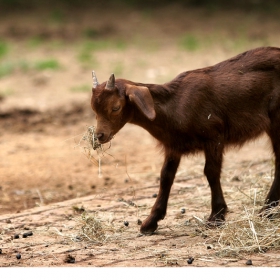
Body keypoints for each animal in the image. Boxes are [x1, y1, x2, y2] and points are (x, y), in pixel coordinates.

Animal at [91, 46, 280, 234]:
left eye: (115, 107)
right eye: (93, 108)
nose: (99, 136)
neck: (175, 105)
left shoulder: (214, 137)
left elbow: (211, 172)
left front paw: (216, 216)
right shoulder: (173, 146)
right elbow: (166, 176)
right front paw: (150, 222)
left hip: (276, 118)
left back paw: (267, 210)